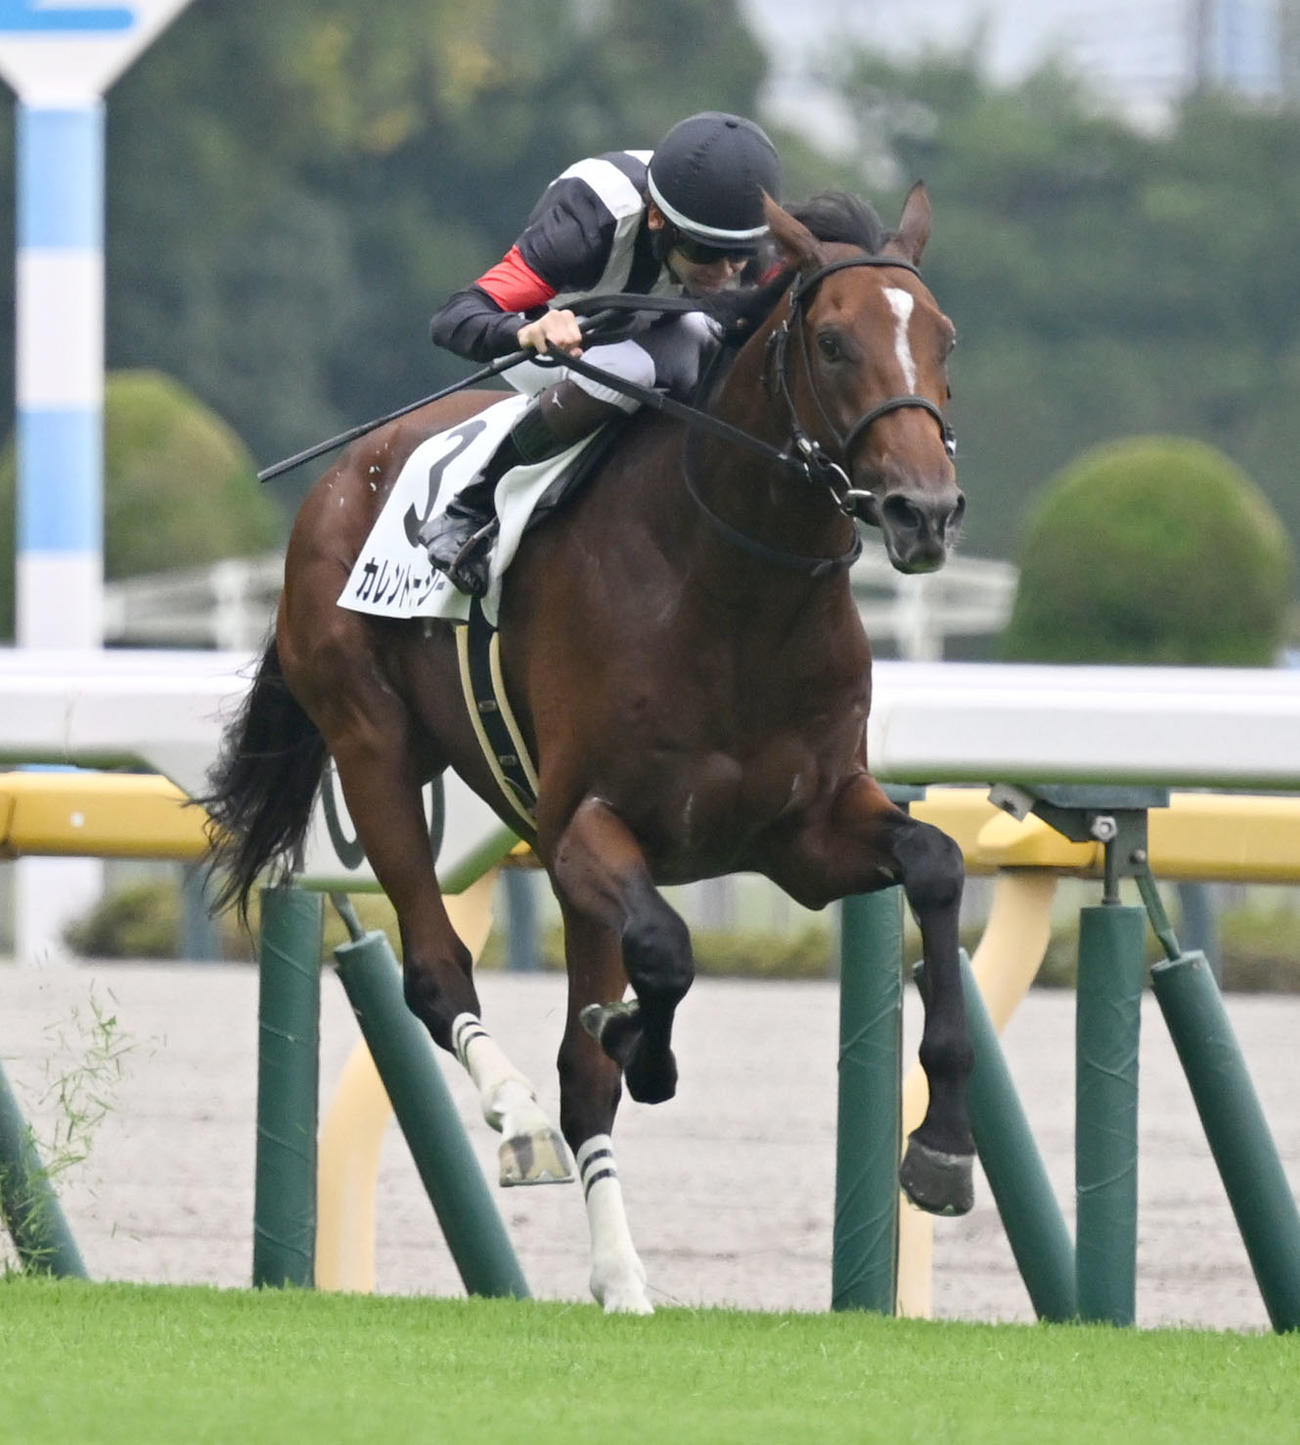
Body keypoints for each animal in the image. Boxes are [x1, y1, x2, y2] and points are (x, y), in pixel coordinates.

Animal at [205, 185, 974, 1314]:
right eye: (833, 342)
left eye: (943, 337)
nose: (925, 510)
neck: (734, 594)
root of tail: (344, 475)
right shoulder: (582, 828)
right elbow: (662, 955)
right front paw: (641, 1047)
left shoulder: (806, 833)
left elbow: (936, 863)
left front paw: (944, 1145)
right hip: (373, 747)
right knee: (441, 975)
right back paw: (520, 1116)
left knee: (577, 1072)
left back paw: (621, 1271)